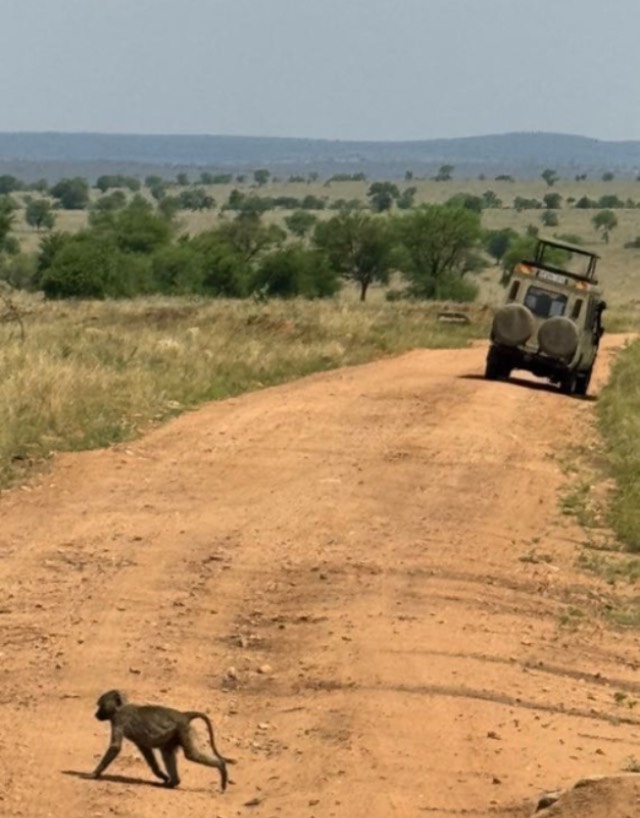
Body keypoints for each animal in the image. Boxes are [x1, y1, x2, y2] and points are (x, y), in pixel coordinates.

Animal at [90, 689, 234, 791]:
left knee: (191, 755)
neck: (120, 708)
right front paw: (162, 776)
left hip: (183, 730)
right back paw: (173, 782)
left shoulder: (119, 719)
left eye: (101, 705)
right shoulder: (140, 742)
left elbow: (115, 747)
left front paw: (94, 774)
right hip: (176, 734)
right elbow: (147, 752)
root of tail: (184, 715)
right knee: (167, 753)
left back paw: (222, 767)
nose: (96, 715)